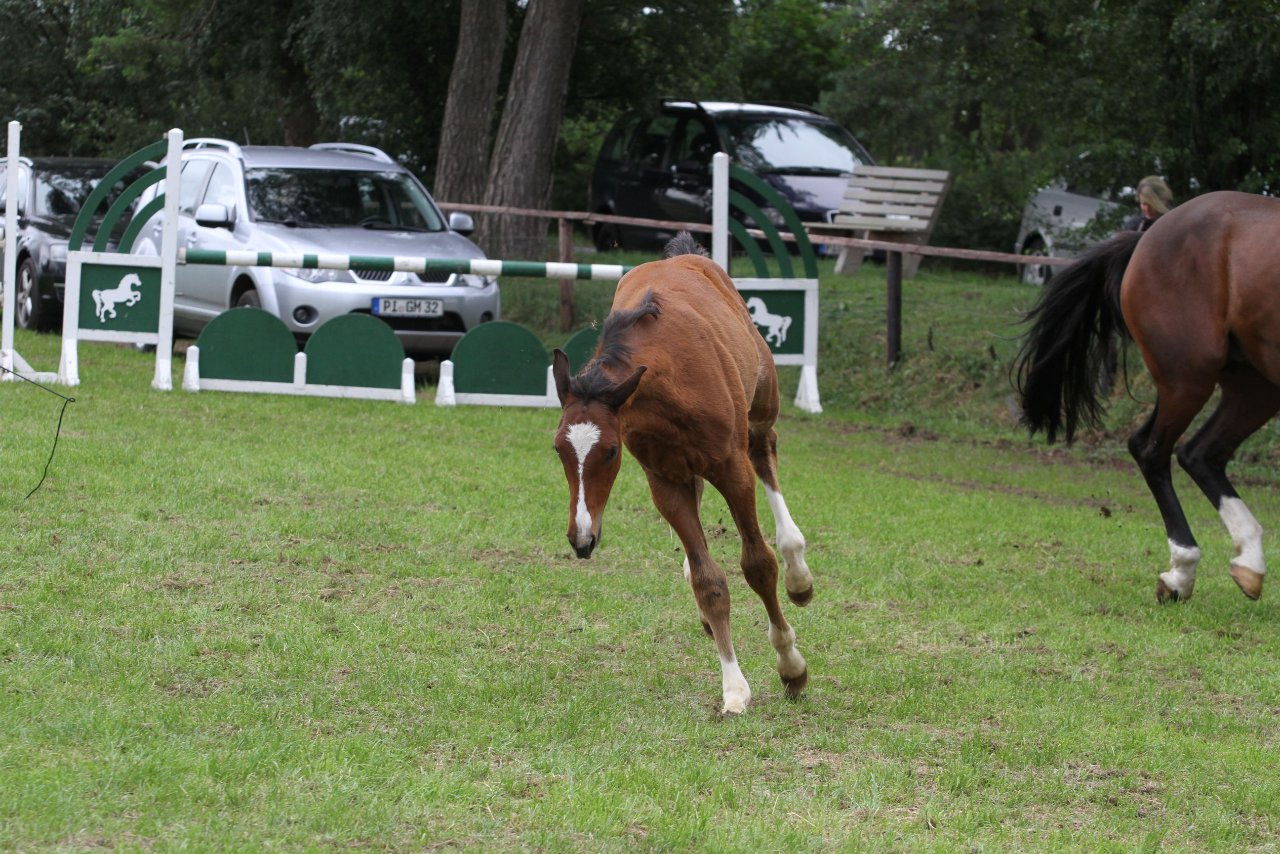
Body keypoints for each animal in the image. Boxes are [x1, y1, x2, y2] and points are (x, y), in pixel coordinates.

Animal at [547, 231, 808, 717]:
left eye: (610, 451)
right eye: (558, 449)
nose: (581, 538)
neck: (667, 385)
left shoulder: (733, 469)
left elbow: (758, 564)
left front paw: (790, 665)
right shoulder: (665, 482)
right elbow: (709, 582)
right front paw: (734, 687)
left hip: (760, 413)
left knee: (766, 456)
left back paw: (798, 570)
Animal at [1018, 193, 1280, 604]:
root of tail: (1148, 235)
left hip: (1255, 385)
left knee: (1201, 453)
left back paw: (1246, 561)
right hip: (1189, 374)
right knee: (1156, 450)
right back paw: (1183, 572)